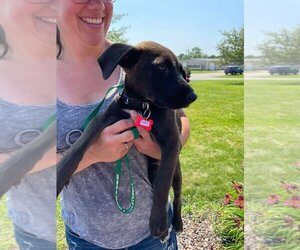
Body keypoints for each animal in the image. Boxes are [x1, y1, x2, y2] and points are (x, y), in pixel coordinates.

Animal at [56, 41, 198, 240]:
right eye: (162, 67)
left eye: (181, 71)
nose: (193, 96)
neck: (142, 105)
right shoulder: (104, 118)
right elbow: (78, 146)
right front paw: (61, 175)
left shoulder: (172, 142)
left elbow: (163, 187)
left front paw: (158, 221)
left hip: (176, 172)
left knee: (176, 196)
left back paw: (175, 223)